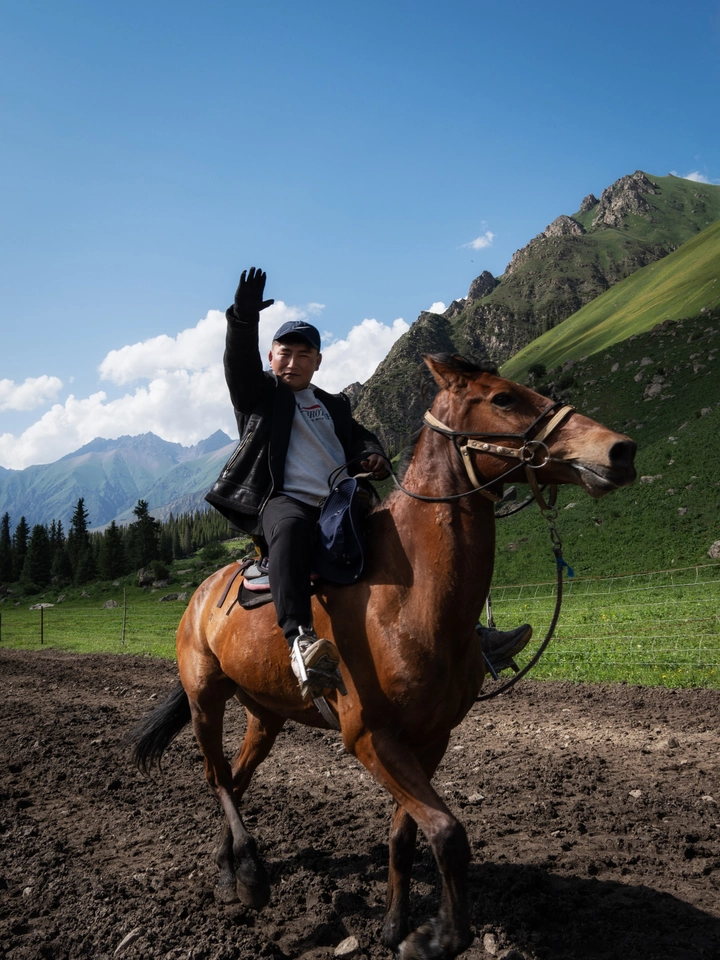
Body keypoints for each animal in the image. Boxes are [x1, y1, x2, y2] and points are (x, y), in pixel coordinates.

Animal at [131, 354, 636, 960]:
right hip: (205, 698)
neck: (407, 598)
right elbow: (448, 832)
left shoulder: (430, 738)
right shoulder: (369, 737)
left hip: (265, 714)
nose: (620, 450)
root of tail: (202, 594)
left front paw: (396, 926)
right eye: (504, 398)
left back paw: (226, 866)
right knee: (216, 775)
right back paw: (249, 876)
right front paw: (437, 936)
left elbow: (405, 834)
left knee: (235, 774)